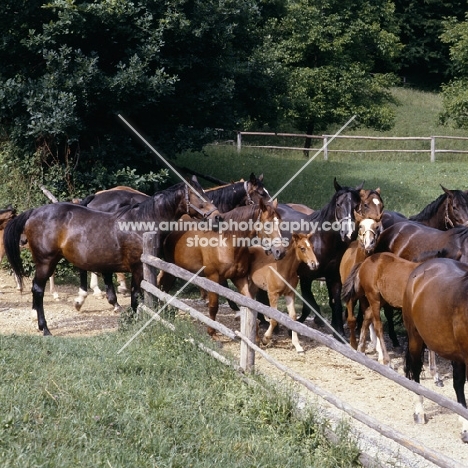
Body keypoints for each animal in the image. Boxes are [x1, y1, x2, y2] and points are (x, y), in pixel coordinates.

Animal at [3, 180, 220, 336]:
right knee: (38, 290)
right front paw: (131, 321)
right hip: (46, 262)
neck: (142, 222)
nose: (217, 216)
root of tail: (34, 212)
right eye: (197, 195)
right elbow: (135, 296)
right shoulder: (138, 269)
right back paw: (45, 328)